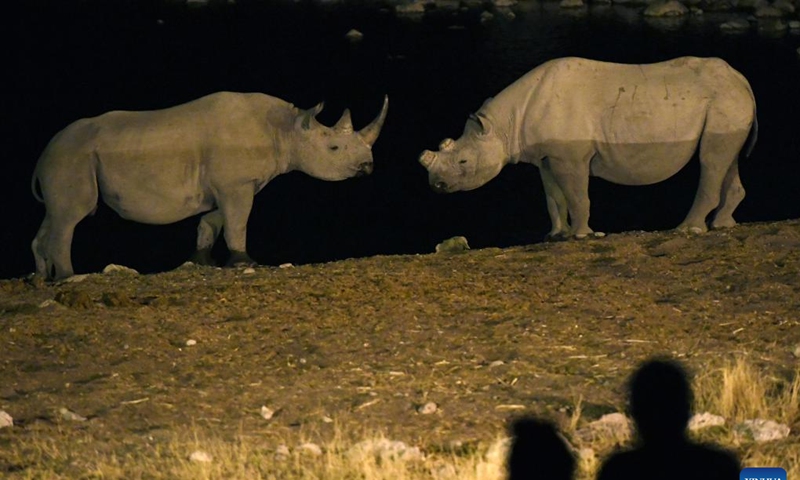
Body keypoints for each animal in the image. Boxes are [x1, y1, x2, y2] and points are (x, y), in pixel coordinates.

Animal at [32, 91, 389, 280]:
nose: (368, 167)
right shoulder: (236, 185)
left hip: (62, 161)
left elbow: (212, 223)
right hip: (71, 158)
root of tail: (43, 154)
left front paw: (203, 261)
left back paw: (42, 278)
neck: (286, 130)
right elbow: (237, 223)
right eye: (334, 149)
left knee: (54, 215)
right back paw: (68, 277)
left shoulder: (226, 186)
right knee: (71, 217)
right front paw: (246, 262)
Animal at [419, 57, 757, 240]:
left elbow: (577, 195)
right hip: (727, 102)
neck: (505, 123)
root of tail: (741, 78)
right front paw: (556, 235)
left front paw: (582, 235)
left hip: (722, 99)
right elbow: (553, 198)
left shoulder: (571, 155)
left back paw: (687, 229)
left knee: (711, 159)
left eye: (463, 161)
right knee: (726, 159)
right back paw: (721, 225)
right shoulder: (547, 156)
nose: (436, 186)